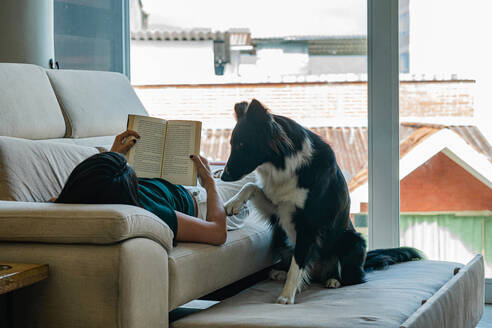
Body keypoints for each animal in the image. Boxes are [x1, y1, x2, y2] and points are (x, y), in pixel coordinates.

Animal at [221, 98, 420, 304]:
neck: (286, 164)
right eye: (233, 144)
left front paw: (286, 296)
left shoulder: (308, 225)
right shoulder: (278, 208)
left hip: (353, 241)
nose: (222, 177)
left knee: (353, 278)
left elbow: (297, 264)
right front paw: (232, 204)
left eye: (242, 145)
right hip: (283, 242)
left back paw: (334, 280)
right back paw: (281, 273)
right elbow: (251, 185)